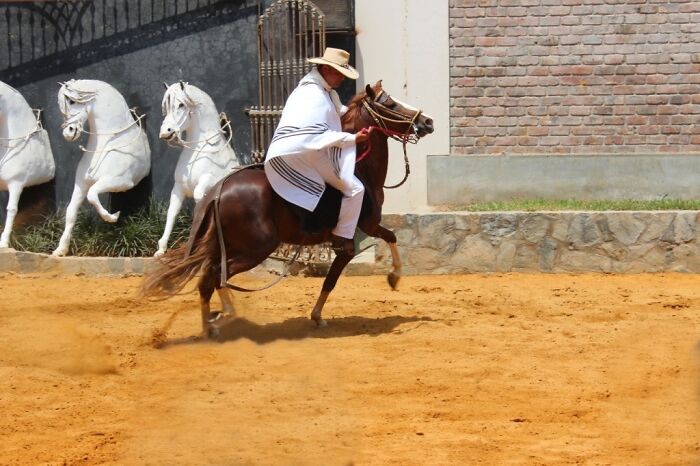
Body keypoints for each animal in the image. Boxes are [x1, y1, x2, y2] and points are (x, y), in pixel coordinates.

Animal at [51, 79, 150, 255]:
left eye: (72, 101)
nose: (69, 133)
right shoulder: (81, 184)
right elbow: (71, 212)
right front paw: (61, 250)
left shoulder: (122, 182)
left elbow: (92, 195)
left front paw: (112, 217)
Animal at [156, 84, 241, 258]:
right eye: (166, 107)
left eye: (181, 105)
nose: (165, 132)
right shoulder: (178, 188)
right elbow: (172, 211)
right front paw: (161, 249)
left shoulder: (207, 182)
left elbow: (199, 203)